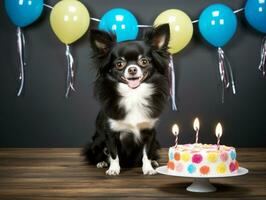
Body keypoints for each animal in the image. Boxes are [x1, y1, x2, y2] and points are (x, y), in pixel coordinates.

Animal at [82, 23, 170, 175]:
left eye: (144, 61)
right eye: (119, 64)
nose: (132, 69)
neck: (133, 94)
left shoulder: (149, 132)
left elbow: (146, 153)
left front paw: (148, 168)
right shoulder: (110, 133)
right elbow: (113, 153)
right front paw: (113, 169)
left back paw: (153, 162)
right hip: (96, 142)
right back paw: (102, 163)